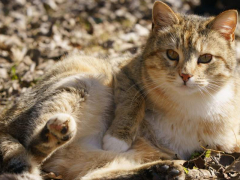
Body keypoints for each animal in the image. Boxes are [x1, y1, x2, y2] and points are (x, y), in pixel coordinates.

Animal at [0, 1, 239, 180]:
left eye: (205, 58)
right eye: (172, 54)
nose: (186, 76)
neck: (191, 104)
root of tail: (4, 119)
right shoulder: (120, 71)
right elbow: (135, 99)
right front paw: (118, 138)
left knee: (89, 177)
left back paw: (159, 172)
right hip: (82, 83)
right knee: (31, 149)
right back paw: (54, 134)